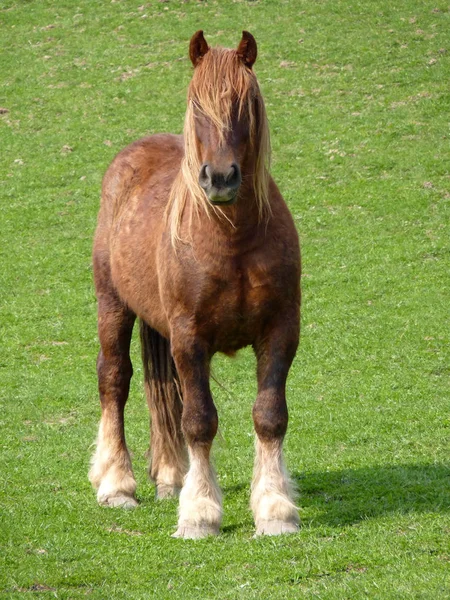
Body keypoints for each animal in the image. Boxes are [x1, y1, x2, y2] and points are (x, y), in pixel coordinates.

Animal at [88, 30, 300, 540]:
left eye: (247, 102)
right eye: (195, 104)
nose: (220, 178)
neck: (232, 239)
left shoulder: (281, 331)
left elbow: (270, 416)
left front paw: (275, 508)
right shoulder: (190, 338)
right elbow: (200, 421)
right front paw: (201, 513)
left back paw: (170, 477)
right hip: (113, 306)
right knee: (114, 380)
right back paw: (117, 484)